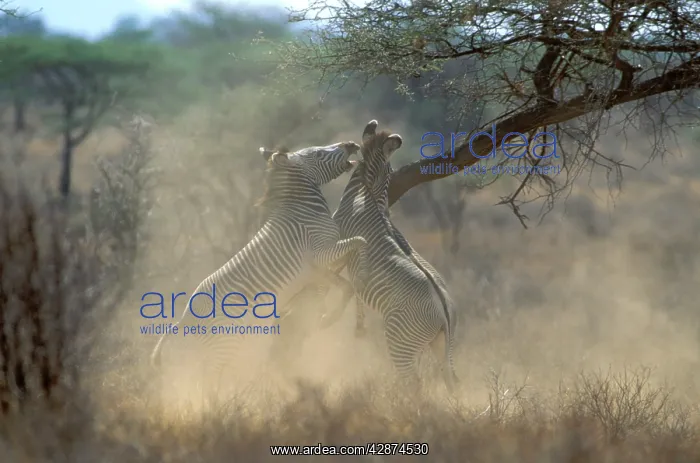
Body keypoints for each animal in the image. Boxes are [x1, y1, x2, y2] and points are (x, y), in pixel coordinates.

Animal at [149, 141, 369, 392]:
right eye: (318, 153)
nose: (351, 144)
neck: (306, 212)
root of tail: (185, 316)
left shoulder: (317, 266)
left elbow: (343, 284)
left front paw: (329, 314)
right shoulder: (320, 253)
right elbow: (360, 242)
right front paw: (357, 284)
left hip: (216, 347)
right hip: (225, 343)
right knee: (208, 380)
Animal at [317, 120, 460, 392]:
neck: (365, 192)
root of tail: (444, 314)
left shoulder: (337, 234)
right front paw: (357, 326)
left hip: (400, 341)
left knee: (414, 384)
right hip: (442, 347)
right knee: (451, 381)